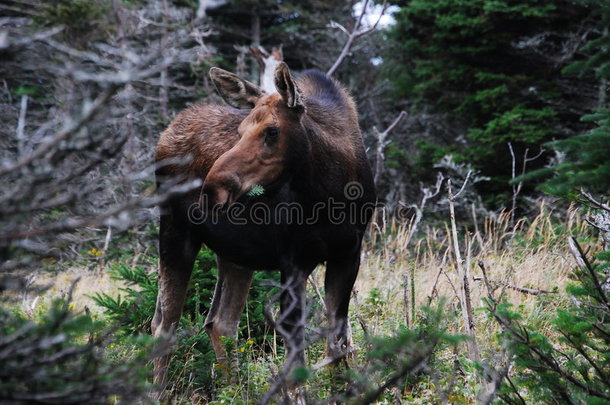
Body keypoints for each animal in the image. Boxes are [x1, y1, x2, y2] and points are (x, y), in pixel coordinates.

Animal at [151, 60, 376, 386]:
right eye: (241, 130)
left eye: (272, 131)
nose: (212, 189)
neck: (330, 194)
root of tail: (167, 131)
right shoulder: (293, 260)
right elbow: (296, 361)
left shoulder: (348, 255)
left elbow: (337, 343)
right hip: (175, 231)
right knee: (164, 323)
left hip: (235, 253)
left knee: (220, 322)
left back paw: (231, 388)